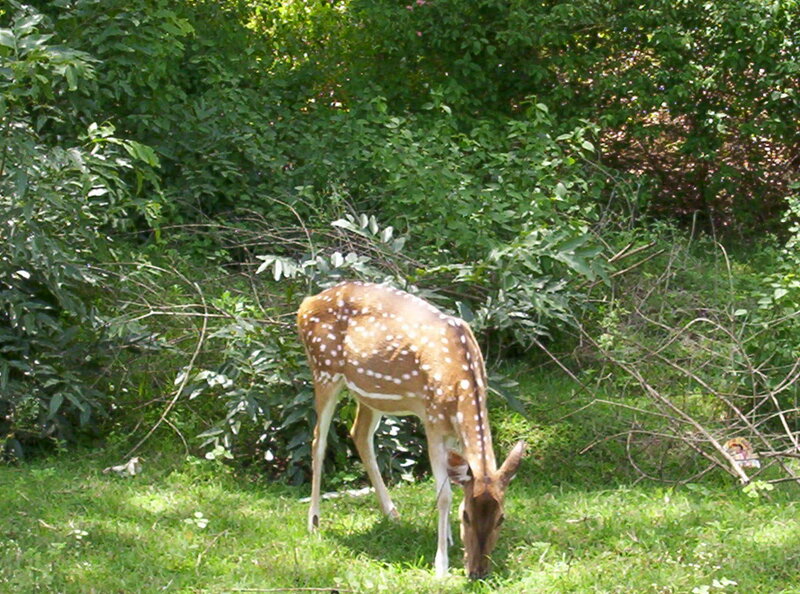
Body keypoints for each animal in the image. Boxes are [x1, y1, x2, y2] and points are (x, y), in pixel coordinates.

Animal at [297, 281, 525, 579]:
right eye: (466, 515)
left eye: (501, 517)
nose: (477, 571)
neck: (463, 384)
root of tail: (306, 303)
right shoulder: (433, 420)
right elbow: (444, 495)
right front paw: (441, 563)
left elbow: (455, 482)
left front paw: (448, 538)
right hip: (324, 369)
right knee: (318, 441)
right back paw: (314, 522)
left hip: (370, 394)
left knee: (359, 434)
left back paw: (392, 514)